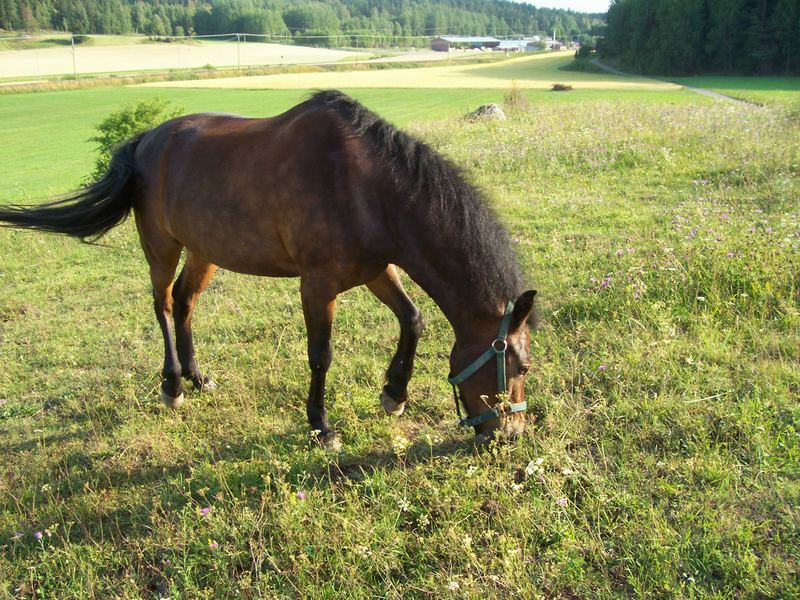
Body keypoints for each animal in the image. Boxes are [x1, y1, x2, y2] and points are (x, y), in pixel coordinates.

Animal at [1, 90, 536, 450]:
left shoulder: (375, 268)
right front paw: (321, 426)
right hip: (160, 246)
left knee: (185, 301)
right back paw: (173, 386)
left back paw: (198, 378)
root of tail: (146, 139)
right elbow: (321, 355)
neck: (367, 186)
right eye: (518, 365)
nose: (511, 434)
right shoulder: (318, 285)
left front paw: (394, 394)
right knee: (163, 304)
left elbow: (413, 319)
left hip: (205, 251)